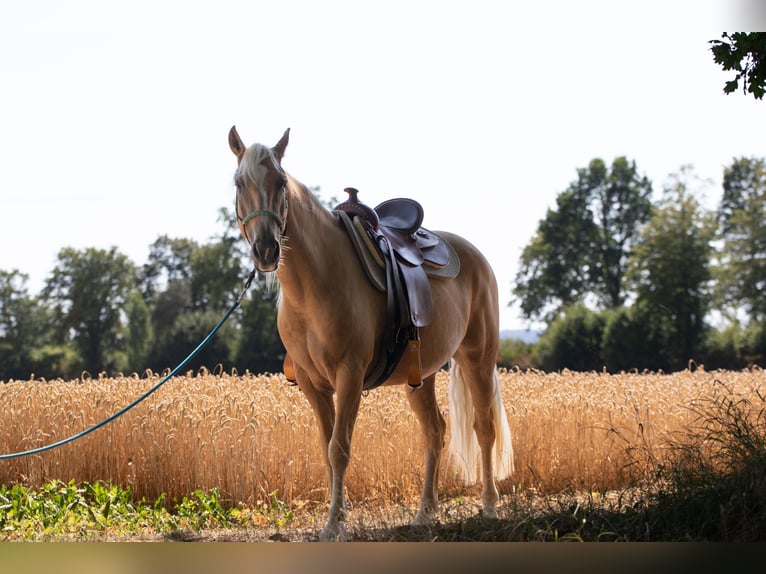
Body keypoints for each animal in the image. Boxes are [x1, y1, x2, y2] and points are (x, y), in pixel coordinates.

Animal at [228, 126, 514, 541]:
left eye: (280, 182)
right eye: (239, 183)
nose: (266, 250)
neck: (314, 283)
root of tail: (476, 257)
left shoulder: (349, 376)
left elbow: (339, 449)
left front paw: (334, 524)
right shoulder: (314, 385)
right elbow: (326, 448)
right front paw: (336, 517)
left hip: (478, 358)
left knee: (484, 427)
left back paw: (490, 506)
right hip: (421, 376)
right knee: (435, 431)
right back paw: (425, 512)